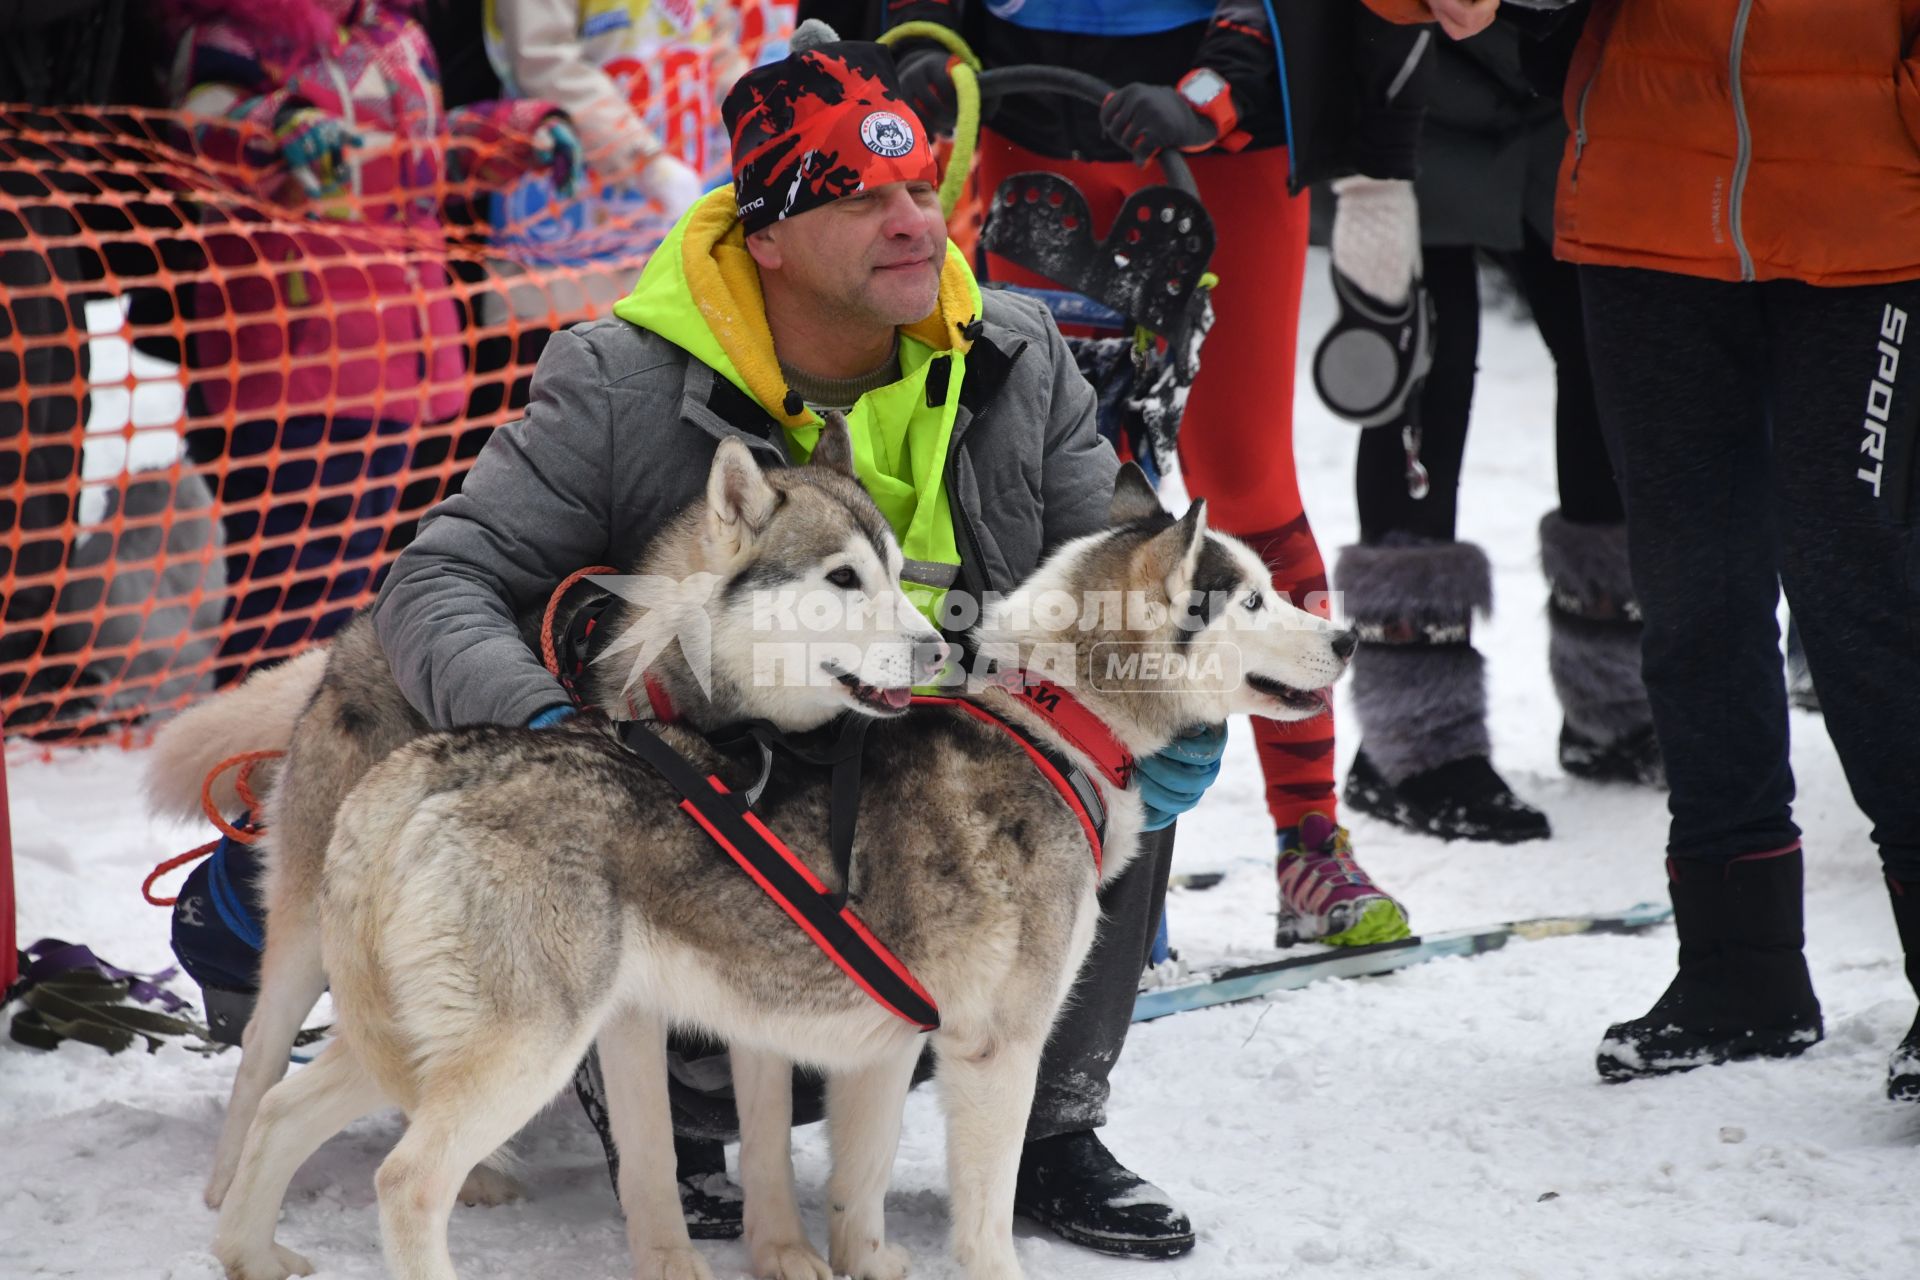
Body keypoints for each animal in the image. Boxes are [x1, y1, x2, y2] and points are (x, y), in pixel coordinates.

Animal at [151, 418, 952, 1212]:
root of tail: (353, 635)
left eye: (897, 571)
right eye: (842, 579)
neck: (717, 716)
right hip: (313, 930)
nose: (938, 650)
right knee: (265, 1044)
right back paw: (229, 1184)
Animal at [206, 468, 1351, 1280]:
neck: (1050, 719)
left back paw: (252, 1254)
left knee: (279, 1112)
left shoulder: (890, 1038)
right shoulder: (996, 1048)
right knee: (402, 1177)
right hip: (518, 1044)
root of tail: (424, 767)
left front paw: (862, 1258)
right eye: (1254, 598)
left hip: (414, 1033)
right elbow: (984, 1222)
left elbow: (862, 1180)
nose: (1343, 635)